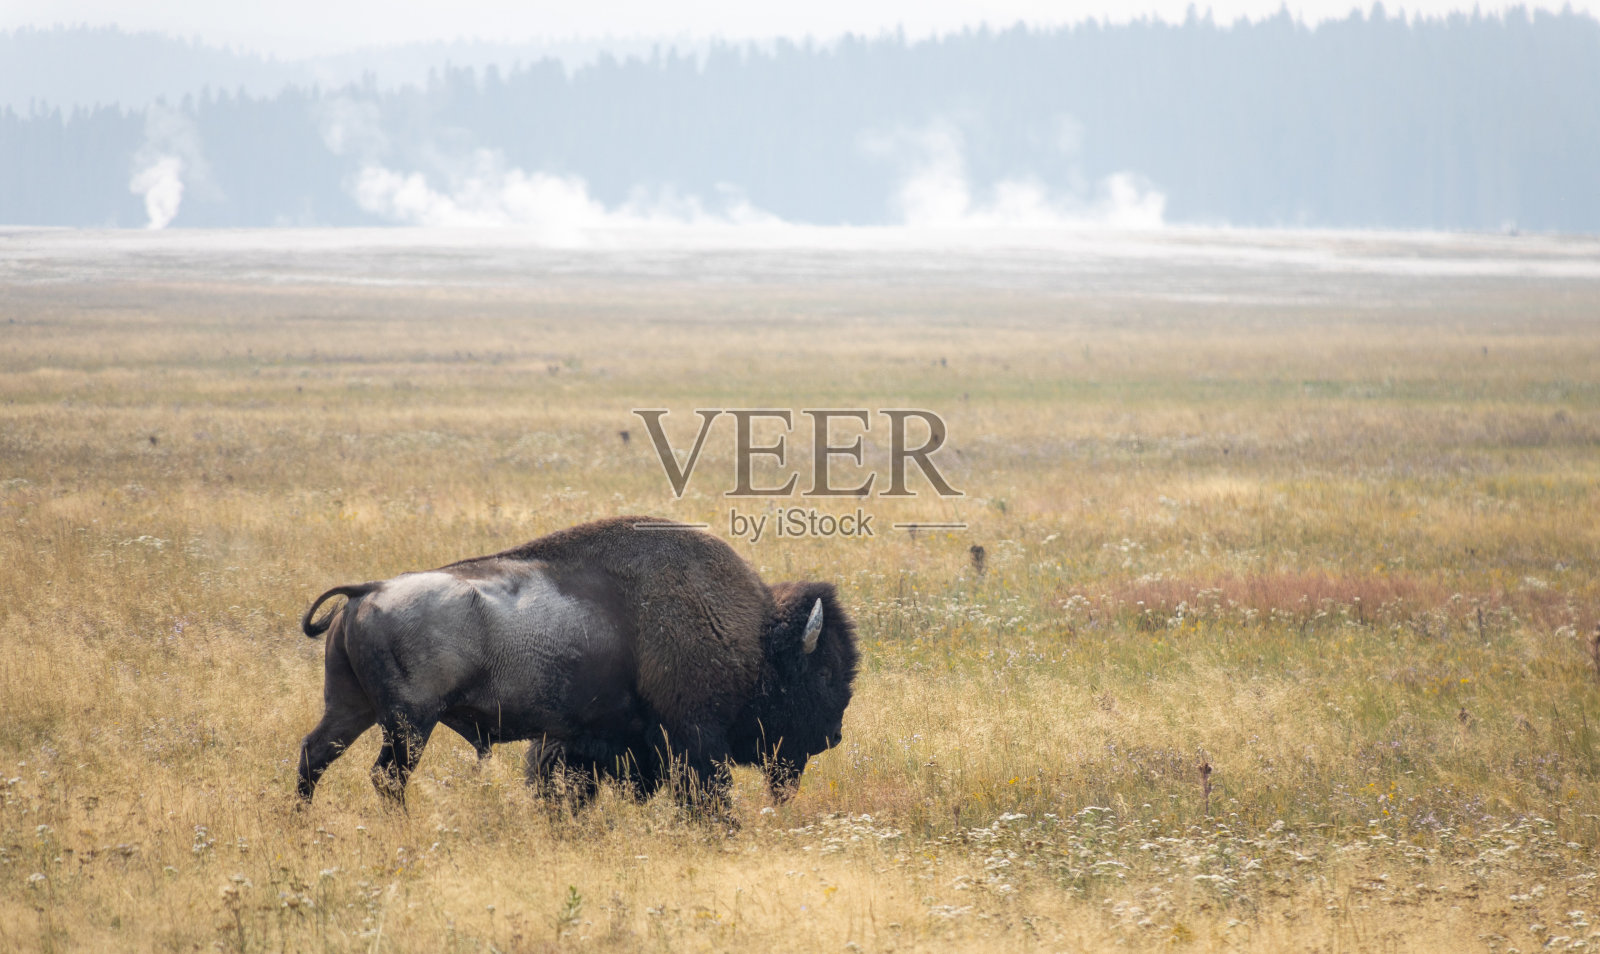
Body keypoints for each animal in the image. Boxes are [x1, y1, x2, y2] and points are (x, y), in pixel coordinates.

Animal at [295, 517, 858, 812]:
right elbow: (704, 790)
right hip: (410, 722)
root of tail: (367, 592)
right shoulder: (693, 736)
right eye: (824, 672)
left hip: (352, 708)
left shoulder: (581, 740)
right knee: (386, 777)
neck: (754, 635)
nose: (833, 735)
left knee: (315, 754)